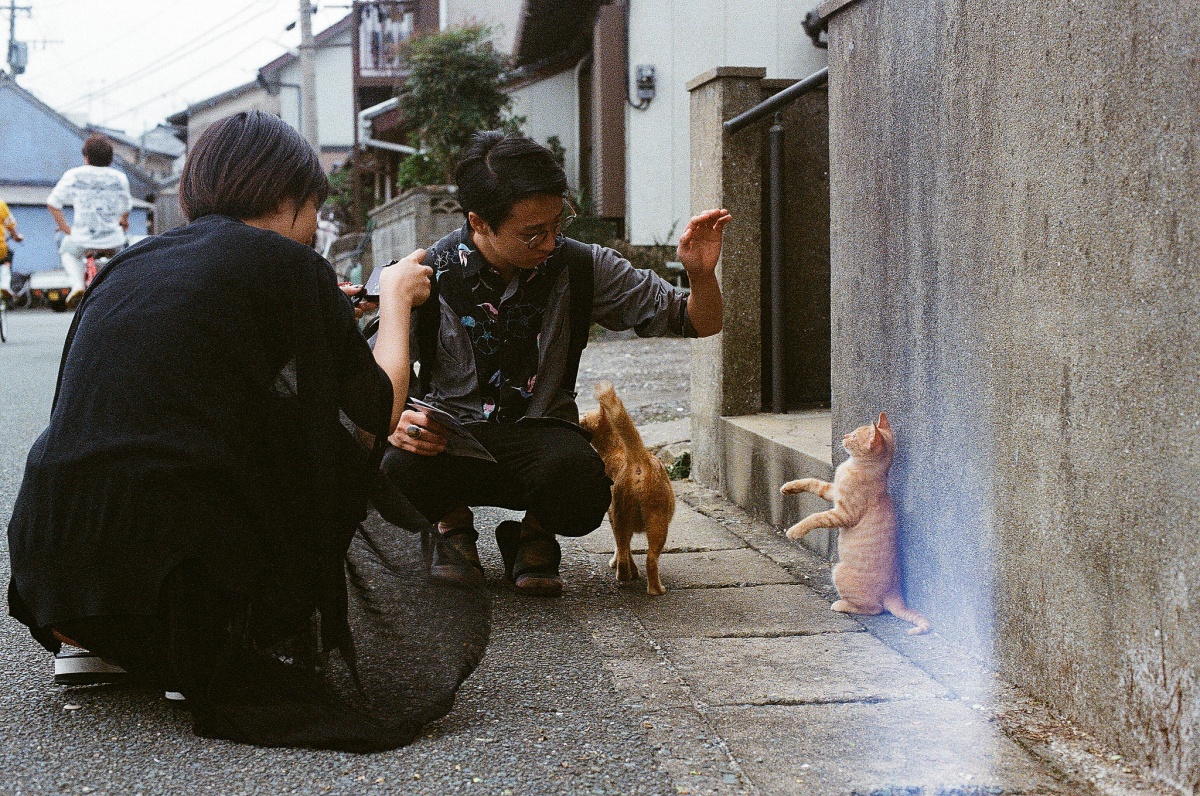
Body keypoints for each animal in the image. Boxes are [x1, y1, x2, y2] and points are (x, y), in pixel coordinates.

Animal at [580, 384, 676, 595]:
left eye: (584, 416)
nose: (577, 417)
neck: (617, 447)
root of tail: (638, 458)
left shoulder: (613, 517)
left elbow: (623, 549)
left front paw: (627, 569)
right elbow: (625, 549)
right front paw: (633, 571)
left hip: (625, 517)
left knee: (627, 553)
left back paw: (628, 577)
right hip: (652, 521)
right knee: (648, 558)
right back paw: (655, 589)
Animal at [782, 410, 931, 633]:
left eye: (853, 436)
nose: (844, 435)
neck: (856, 466)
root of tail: (894, 592)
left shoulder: (844, 514)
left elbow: (815, 517)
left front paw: (795, 531)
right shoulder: (833, 491)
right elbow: (813, 482)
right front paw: (789, 487)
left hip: (839, 572)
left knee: (875, 609)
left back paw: (841, 605)